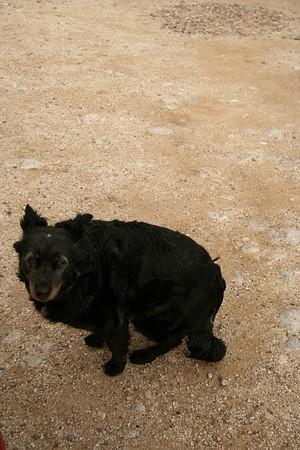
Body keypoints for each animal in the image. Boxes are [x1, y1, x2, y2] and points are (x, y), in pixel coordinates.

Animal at [13, 206, 225, 374]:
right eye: (31, 260)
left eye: (62, 263)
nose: (41, 292)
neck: (85, 271)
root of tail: (216, 273)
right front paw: (97, 339)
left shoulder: (116, 321)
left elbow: (117, 346)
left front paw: (115, 368)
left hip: (150, 319)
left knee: (173, 339)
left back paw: (145, 355)